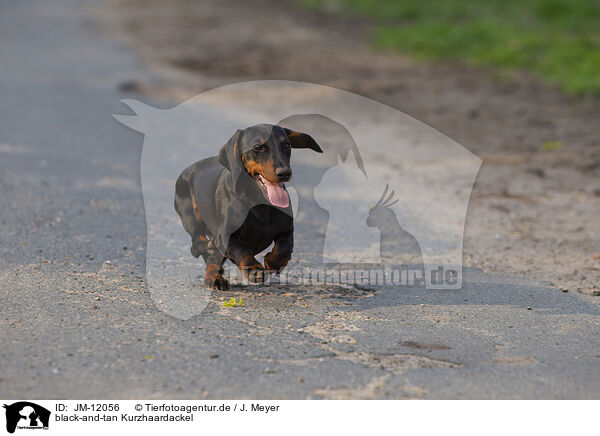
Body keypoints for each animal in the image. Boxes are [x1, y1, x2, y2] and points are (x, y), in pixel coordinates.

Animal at [175, 123, 324, 290]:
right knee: (198, 244)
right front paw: (254, 270)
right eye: (258, 147)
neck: (259, 203)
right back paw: (213, 273)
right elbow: (241, 250)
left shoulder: (287, 229)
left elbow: (284, 248)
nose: (285, 173)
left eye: (286, 145)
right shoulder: (225, 235)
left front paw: (273, 262)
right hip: (190, 213)